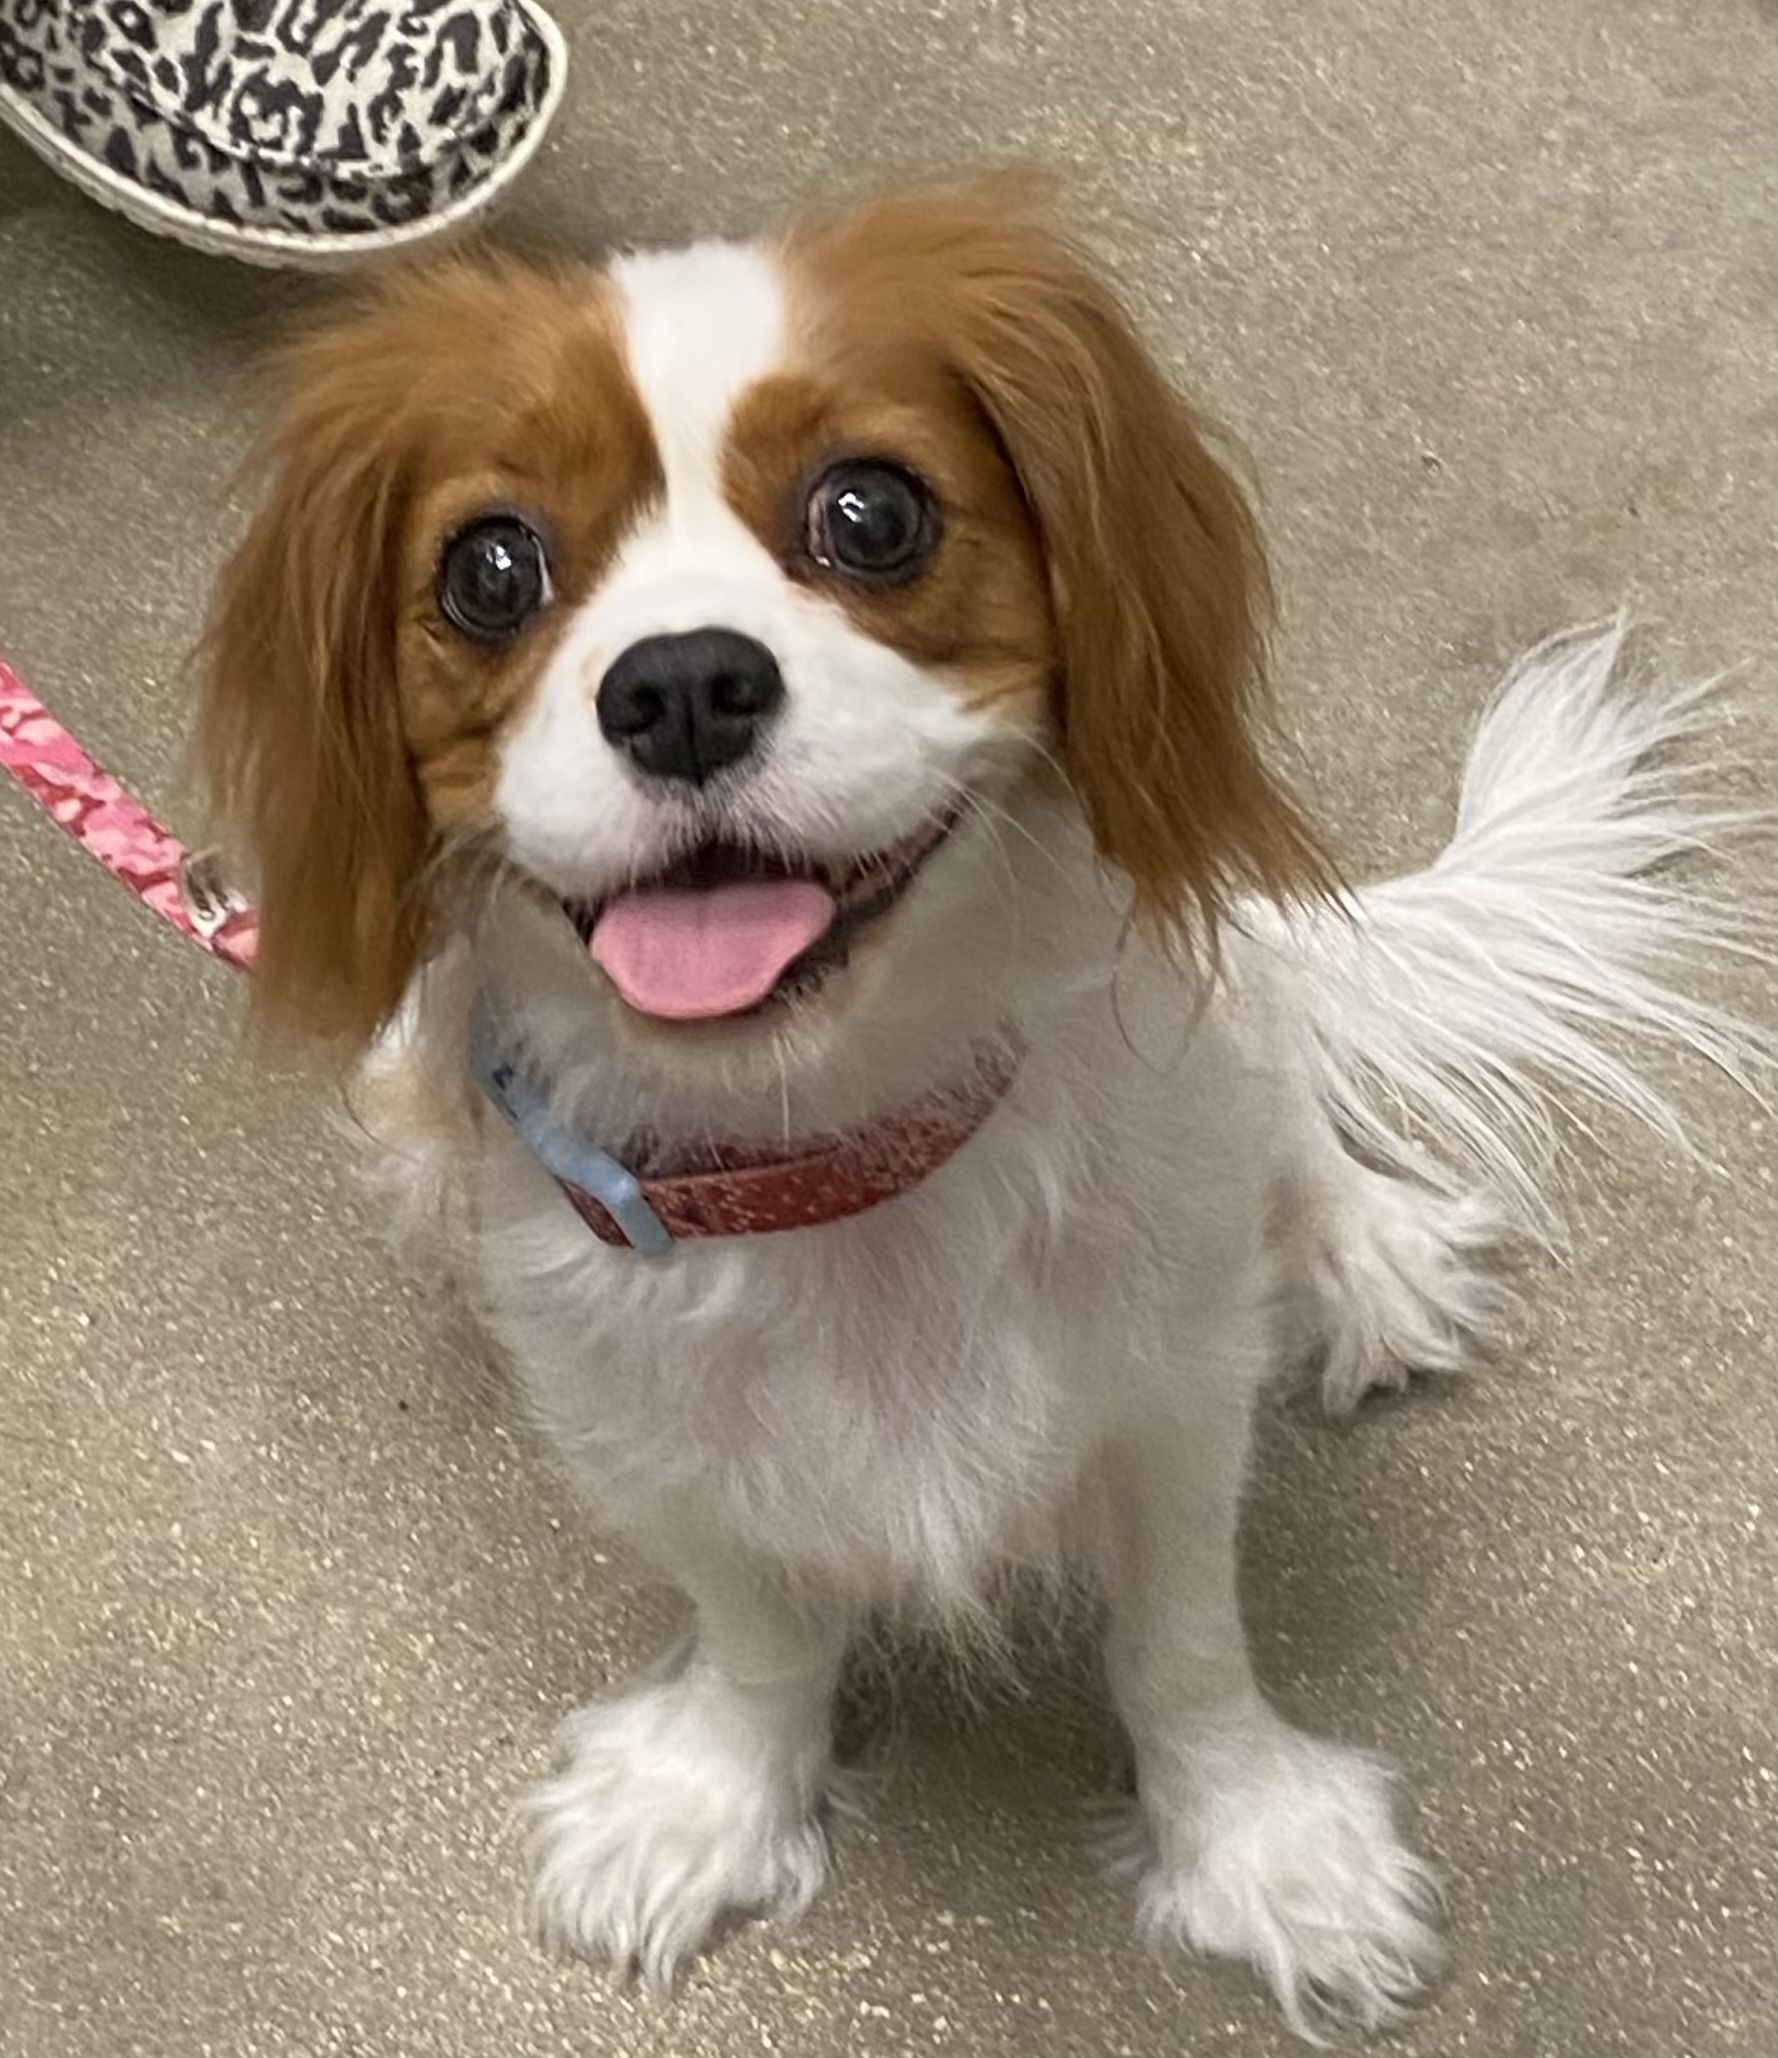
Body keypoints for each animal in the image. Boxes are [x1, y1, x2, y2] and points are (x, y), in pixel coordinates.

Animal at [194, 177, 1761, 2037]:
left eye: (871, 512)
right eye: (489, 568)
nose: (679, 683)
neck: (828, 1143)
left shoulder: (1167, 1397)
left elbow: (1181, 1647)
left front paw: (1258, 1846)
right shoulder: (654, 1433)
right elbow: (758, 1628)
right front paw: (714, 1798)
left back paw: (1359, 1251)